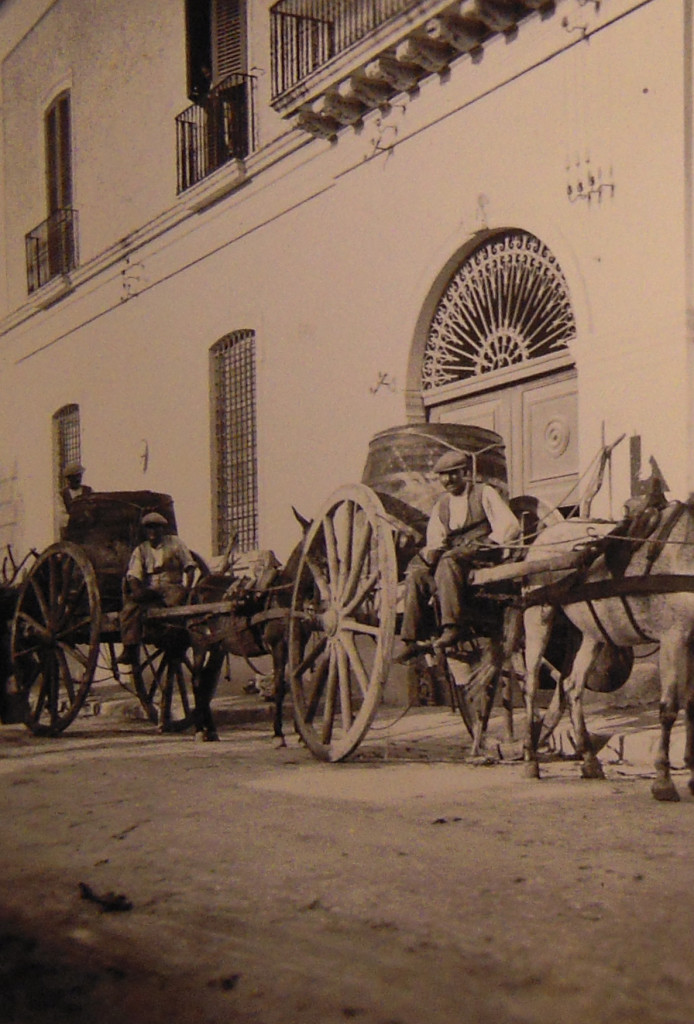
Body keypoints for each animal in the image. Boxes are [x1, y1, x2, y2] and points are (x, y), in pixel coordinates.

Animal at [522, 499, 694, 802]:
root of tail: (545, 534)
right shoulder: (674, 637)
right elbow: (669, 709)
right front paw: (663, 781)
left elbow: (693, 706)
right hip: (538, 613)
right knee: (530, 683)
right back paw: (531, 759)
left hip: (593, 634)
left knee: (572, 685)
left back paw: (589, 760)